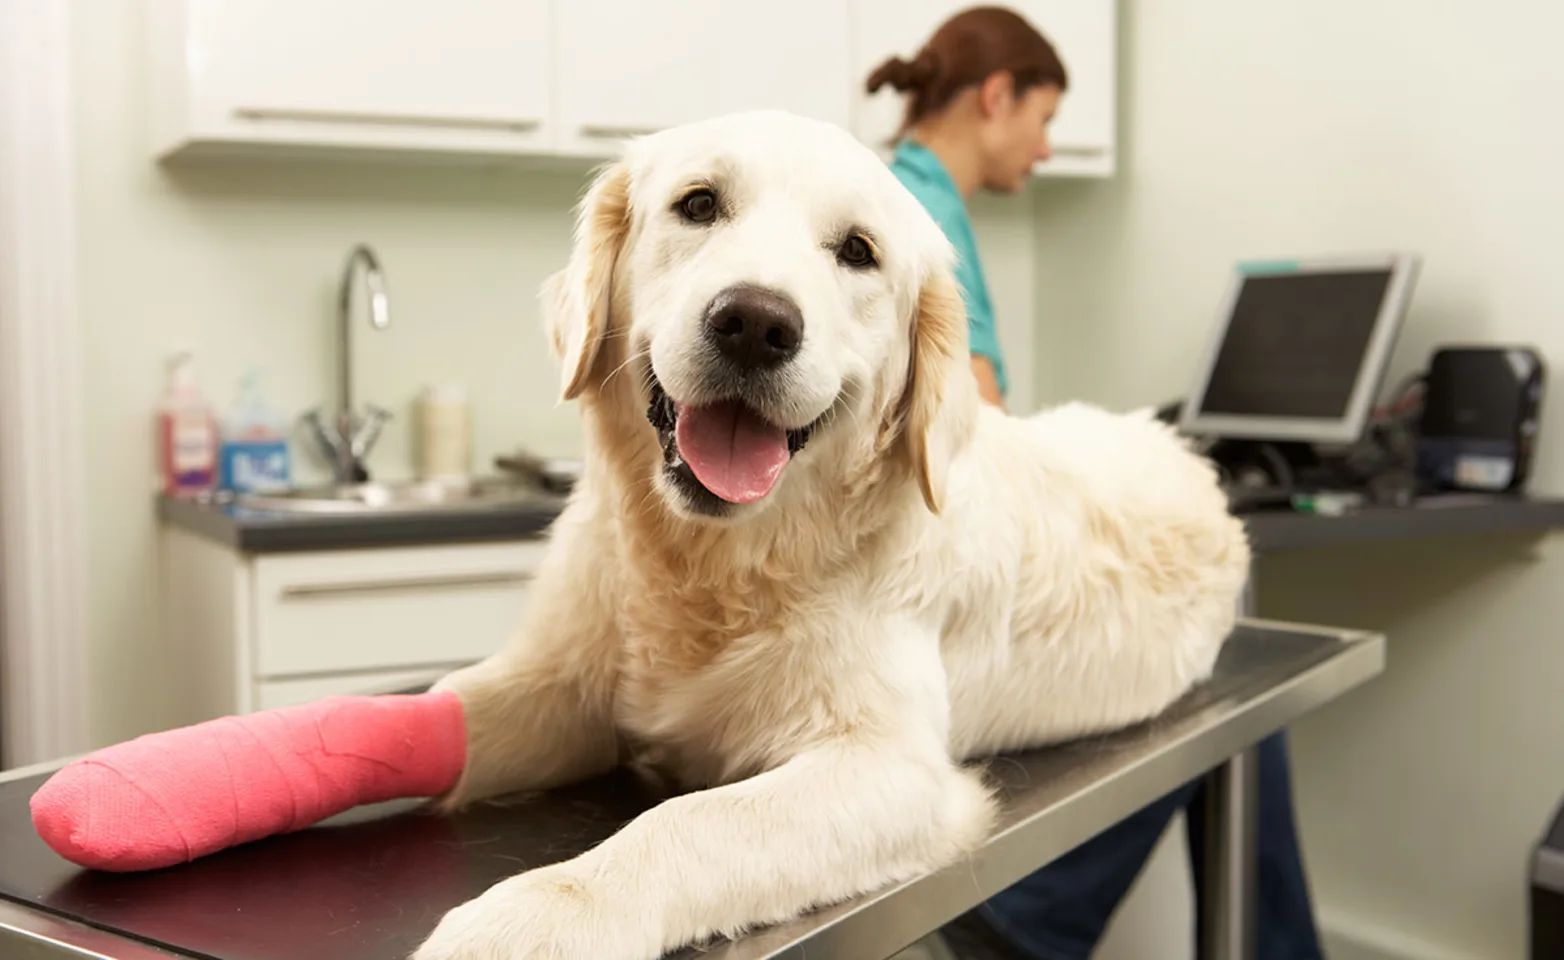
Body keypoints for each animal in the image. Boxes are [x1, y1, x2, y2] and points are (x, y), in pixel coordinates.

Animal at [409, 109, 1251, 956]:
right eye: (699, 204)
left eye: (857, 251)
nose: (755, 323)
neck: (717, 566)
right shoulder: (563, 685)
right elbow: (450, 705)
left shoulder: (892, 767)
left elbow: (691, 821)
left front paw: (535, 917)